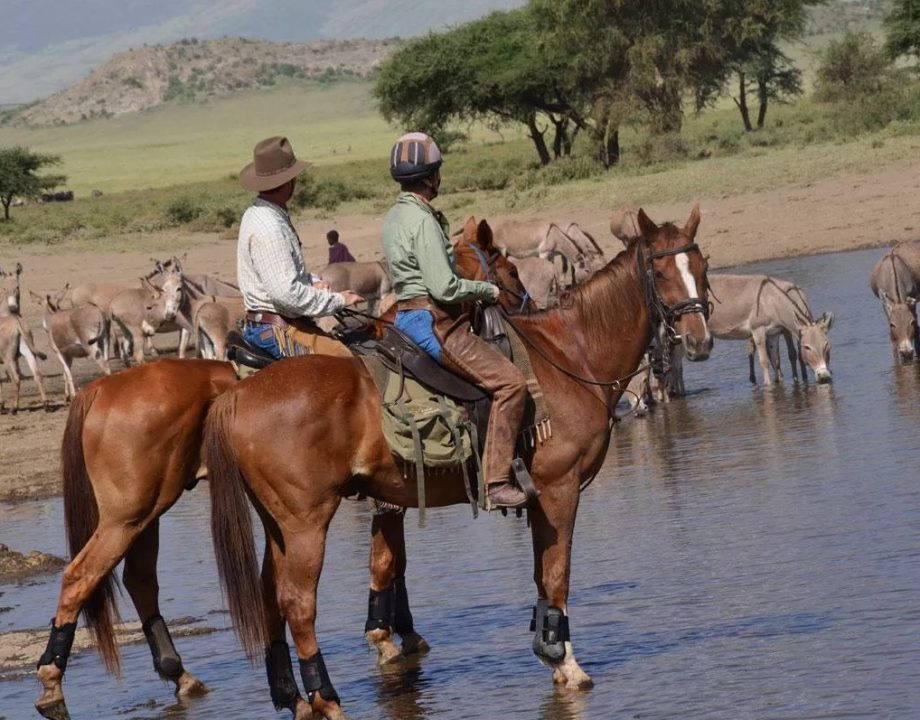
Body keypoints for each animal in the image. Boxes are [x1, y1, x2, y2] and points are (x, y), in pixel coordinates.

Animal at [34, 218, 532, 720]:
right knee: (81, 577)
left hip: (147, 512)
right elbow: (388, 562)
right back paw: (53, 683)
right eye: (510, 271)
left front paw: (396, 633)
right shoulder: (389, 497)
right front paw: (388, 637)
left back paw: (182, 674)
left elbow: (390, 562)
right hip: (131, 514)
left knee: (140, 580)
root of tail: (100, 389)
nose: (525, 306)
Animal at [207, 205, 712, 716]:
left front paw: (548, 652)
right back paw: (326, 699)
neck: (570, 357)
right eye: (661, 273)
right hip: (306, 523)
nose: (699, 340)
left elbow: (539, 575)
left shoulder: (536, 500)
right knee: (297, 603)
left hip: (277, 523)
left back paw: (294, 697)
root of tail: (239, 393)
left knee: (270, 598)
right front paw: (565, 663)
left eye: (701, 267)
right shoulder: (559, 489)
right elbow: (556, 575)